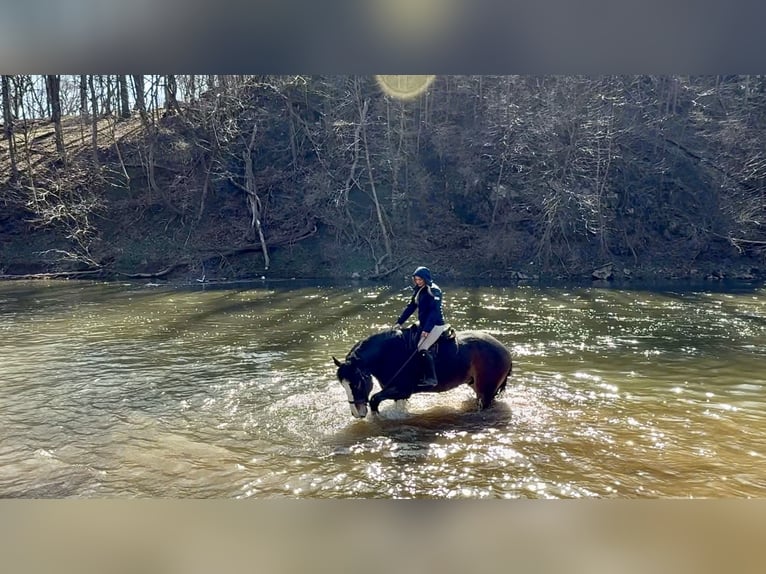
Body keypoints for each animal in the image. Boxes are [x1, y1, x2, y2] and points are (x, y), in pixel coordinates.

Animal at [332, 324, 512, 418]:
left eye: (356, 384)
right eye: (343, 385)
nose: (356, 413)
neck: (388, 354)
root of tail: (505, 351)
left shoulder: (403, 390)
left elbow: (374, 399)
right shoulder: (397, 393)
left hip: (486, 393)